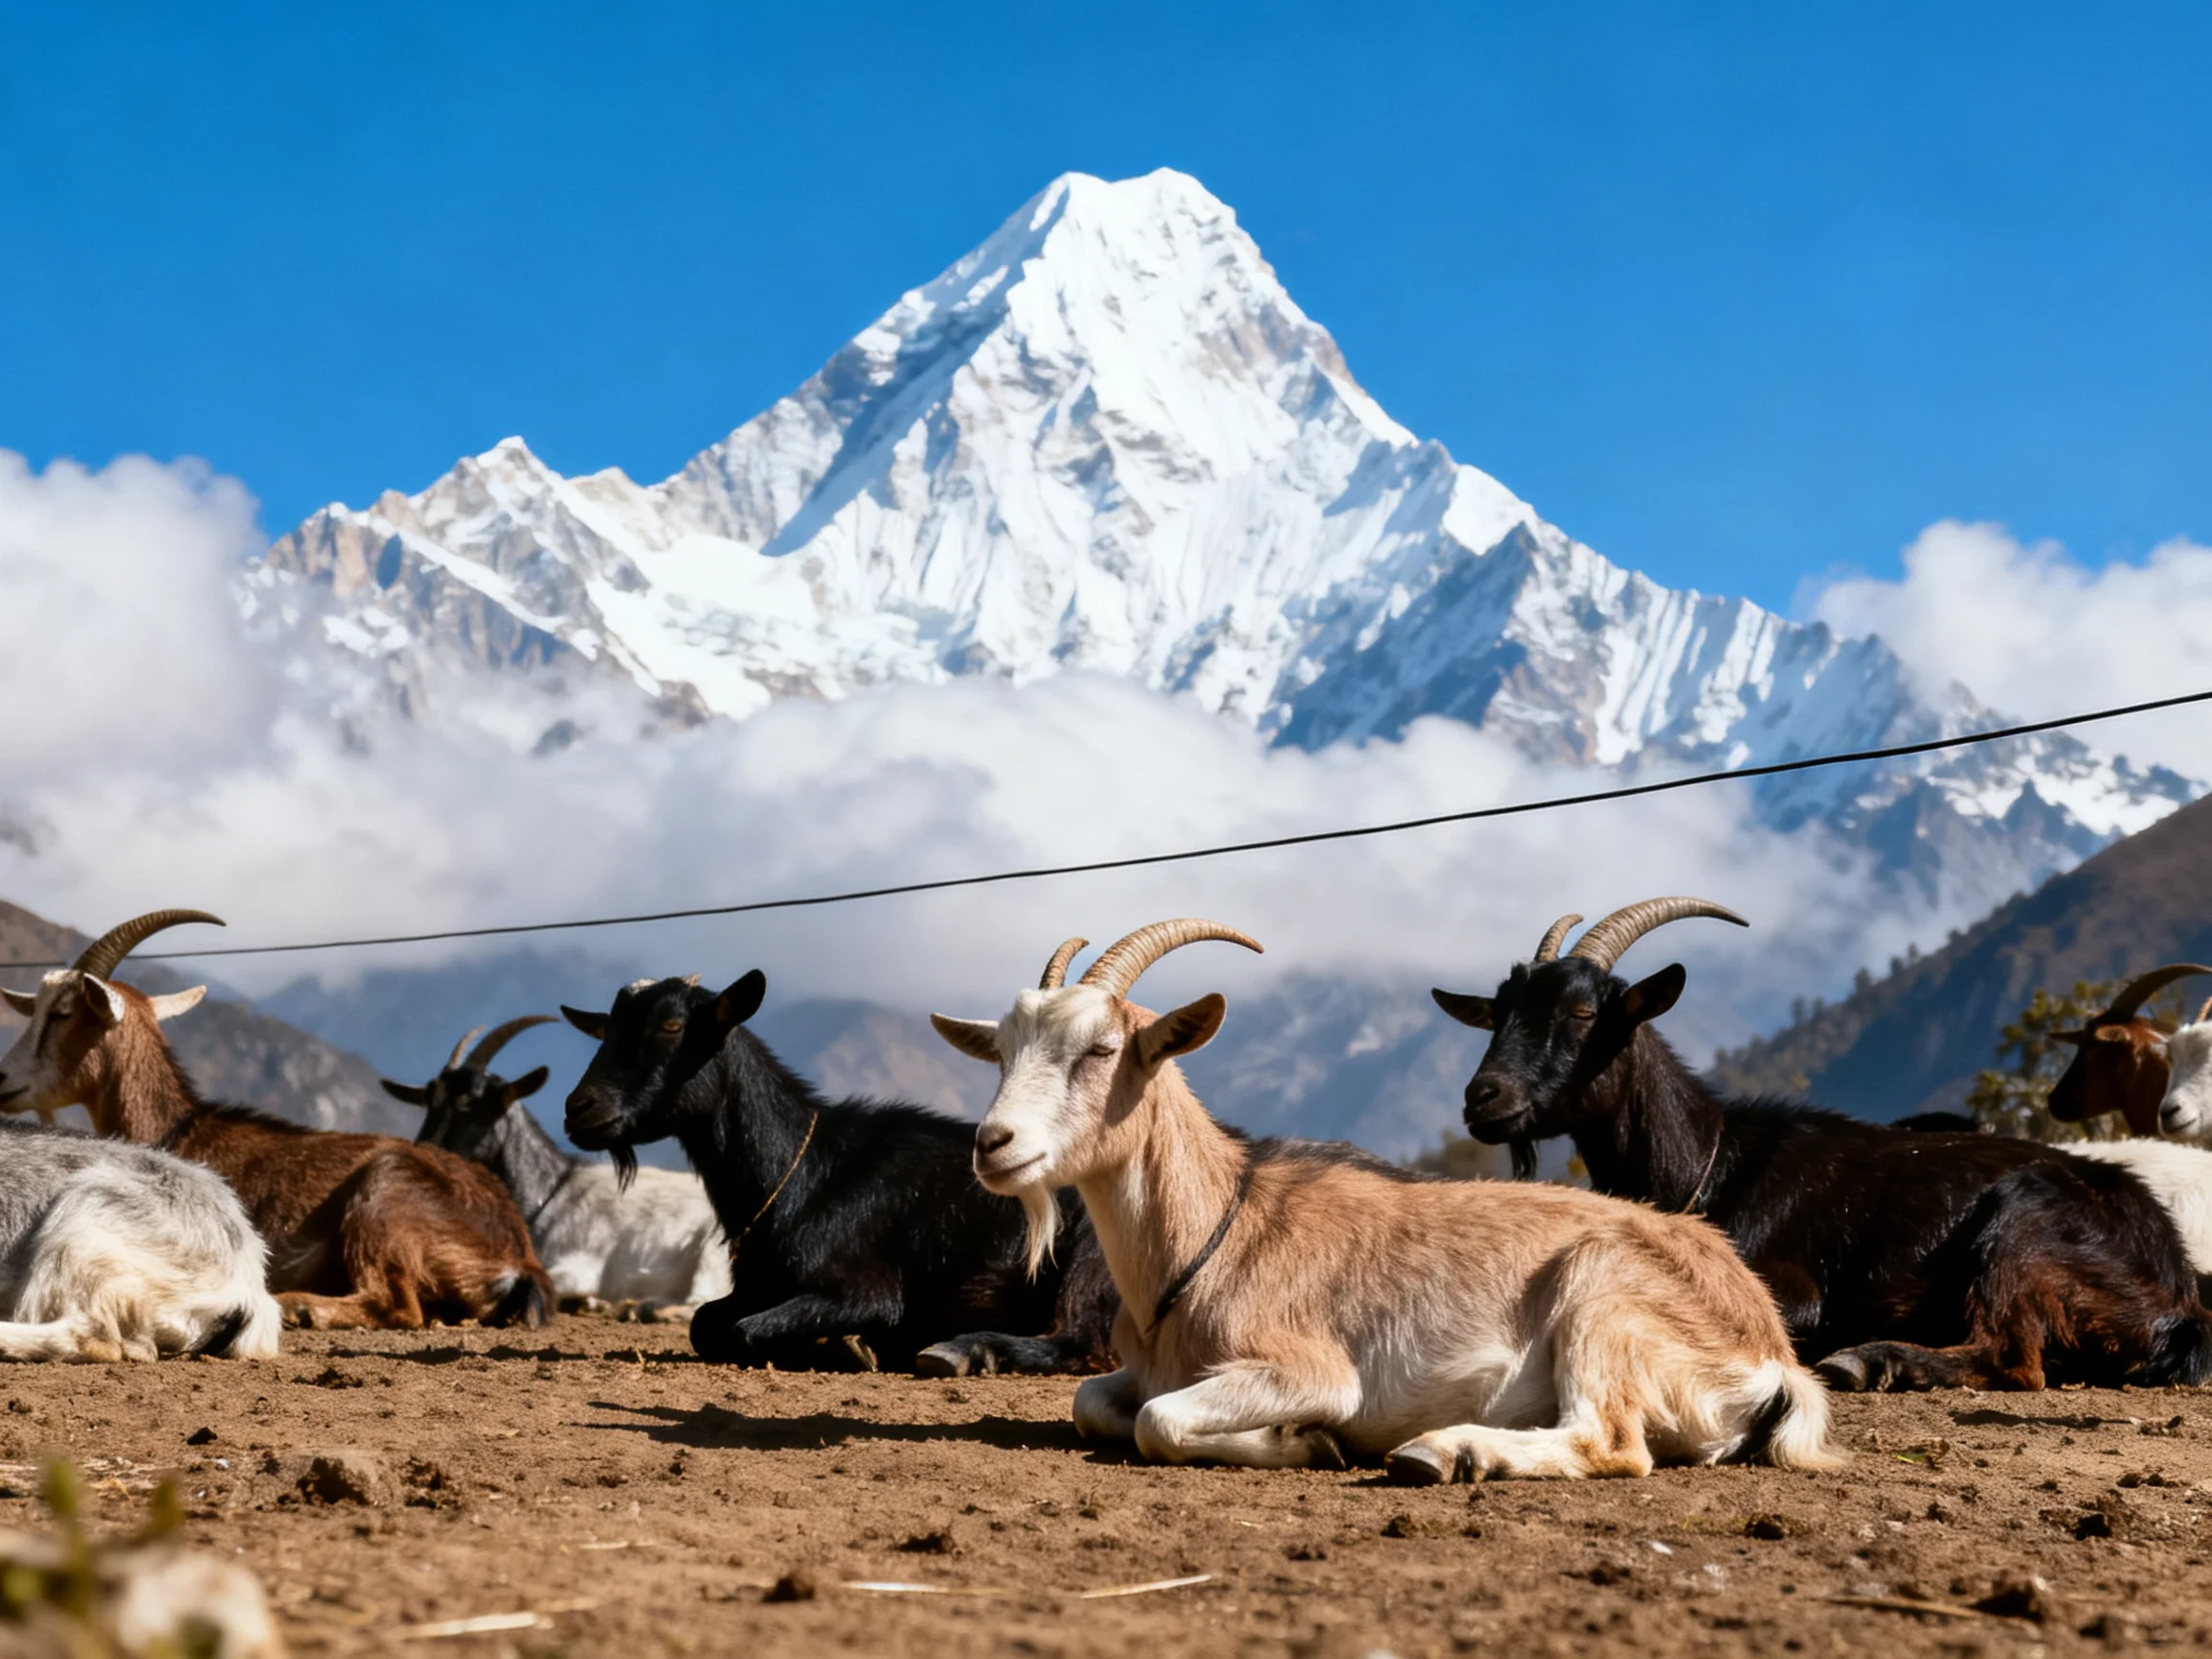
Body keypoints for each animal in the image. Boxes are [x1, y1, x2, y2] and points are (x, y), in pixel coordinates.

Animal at [0, 910, 554, 1331]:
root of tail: (520, 1253)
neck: (176, 1128)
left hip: (383, 1199)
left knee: (398, 1306)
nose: (4, 1078)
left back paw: (297, 1306)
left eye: (63, 1013)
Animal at [387, 1017, 733, 1310]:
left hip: (712, 1256)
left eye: (470, 1102)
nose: (419, 1156)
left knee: (696, 1303)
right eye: (430, 1100)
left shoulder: (576, 1266)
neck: (550, 1196)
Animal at [560, 967, 1117, 1374]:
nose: (577, 1109)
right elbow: (704, 1323)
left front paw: (848, 1346)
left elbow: (747, 1329)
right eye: (608, 1029)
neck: (801, 1173)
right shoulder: (752, 1288)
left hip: (1090, 1257)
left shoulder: (867, 1289)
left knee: (1077, 1342)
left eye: (672, 1027)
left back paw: (960, 1350)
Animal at [931, 918, 1835, 1482]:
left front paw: (1307, 1441)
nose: (994, 1144)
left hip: (1605, 1304)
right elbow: (1093, 1404)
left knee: (1613, 1443)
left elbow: (1160, 1422)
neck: (1217, 1230)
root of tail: (1771, 1346)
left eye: (1103, 1048)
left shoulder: (1308, 1367)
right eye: (1001, 1050)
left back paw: (1447, 1452)